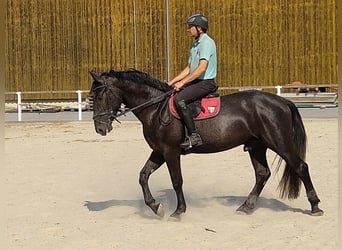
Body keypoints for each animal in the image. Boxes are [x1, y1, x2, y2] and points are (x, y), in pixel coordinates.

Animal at [89, 69, 324, 218]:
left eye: (99, 96)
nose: (100, 128)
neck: (155, 108)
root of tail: (282, 101)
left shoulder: (170, 152)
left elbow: (177, 181)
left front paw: (178, 211)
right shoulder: (158, 151)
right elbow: (143, 176)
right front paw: (156, 207)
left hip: (280, 143)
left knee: (300, 167)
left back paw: (315, 207)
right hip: (257, 146)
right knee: (262, 174)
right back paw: (246, 207)